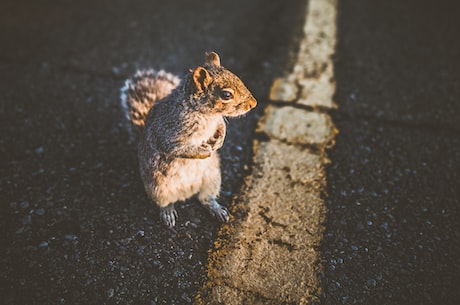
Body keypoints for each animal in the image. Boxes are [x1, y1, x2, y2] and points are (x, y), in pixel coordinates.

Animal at [120, 51, 256, 226]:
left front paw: (219, 140)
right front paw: (204, 151)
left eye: (237, 77)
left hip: (212, 179)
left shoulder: (217, 121)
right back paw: (168, 213)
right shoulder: (166, 132)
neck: (206, 114)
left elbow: (221, 127)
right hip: (158, 189)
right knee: (165, 203)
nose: (254, 103)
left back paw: (216, 209)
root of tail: (187, 192)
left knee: (205, 198)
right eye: (226, 95)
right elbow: (177, 148)